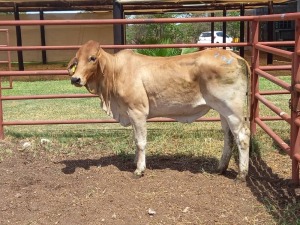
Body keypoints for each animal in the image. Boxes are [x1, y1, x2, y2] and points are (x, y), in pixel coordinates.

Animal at [68, 40, 251, 181]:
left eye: (92, 58)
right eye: (76, 59)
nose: (75, 79)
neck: (115, 73)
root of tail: (237, 57)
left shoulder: (137, 112)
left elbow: (140, 142)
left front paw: (139, 169)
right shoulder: (131, 113)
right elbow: (136, 139)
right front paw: (135, 162)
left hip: (232, 109)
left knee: (242, 136)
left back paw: (241, 175)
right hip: (223, 110)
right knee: (229, 137)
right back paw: (220, 168)